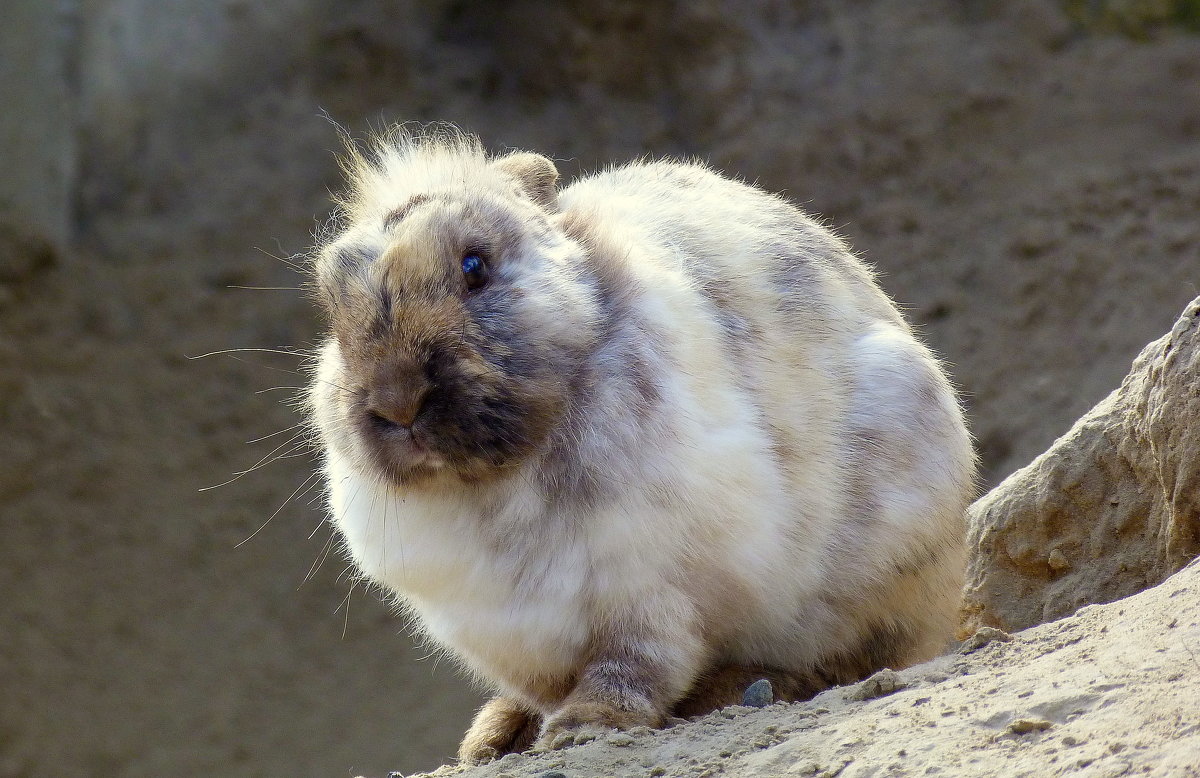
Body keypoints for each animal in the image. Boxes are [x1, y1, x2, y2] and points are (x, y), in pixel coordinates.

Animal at [304, 127, 969, 763]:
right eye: (333, 309)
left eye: (475, 266)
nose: (396, 401)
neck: (493, 480)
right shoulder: (500, 628)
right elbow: (543, 686)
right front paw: (500, 737)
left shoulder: (650, 588)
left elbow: (635, 664)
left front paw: (584, 727)